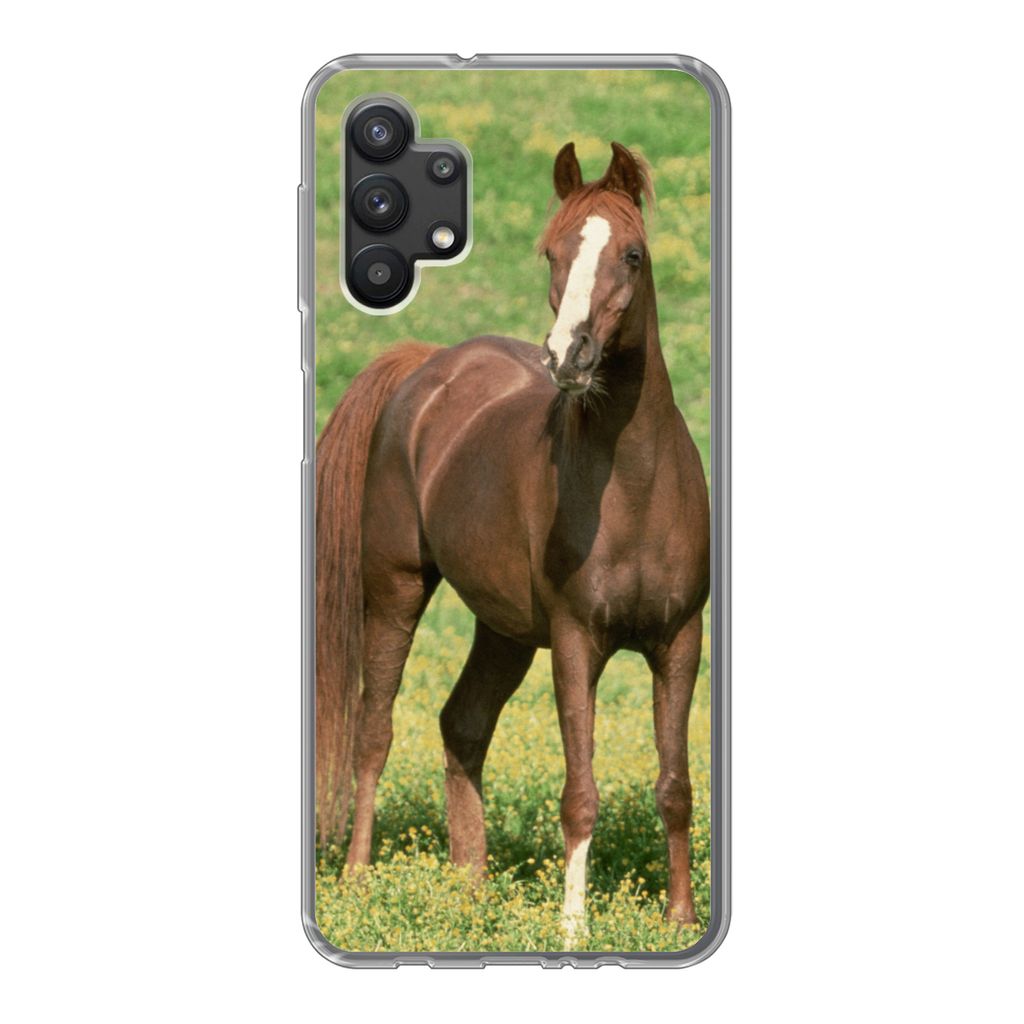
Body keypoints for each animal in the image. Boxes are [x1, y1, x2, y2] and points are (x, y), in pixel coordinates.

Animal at [316, 141, 710, 941]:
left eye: (632, 254)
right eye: (551, 252)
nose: (568, 358)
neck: (636, 490)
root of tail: (427, 364)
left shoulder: (681, 639)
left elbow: (675, 783)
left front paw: (681, 920)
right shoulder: (576, 643)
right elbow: (580, 792)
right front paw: (573, 928)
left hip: (503, 628)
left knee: (462, 726)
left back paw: (470, 890)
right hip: (396, 589)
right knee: (375, 731)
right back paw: (359, 879)